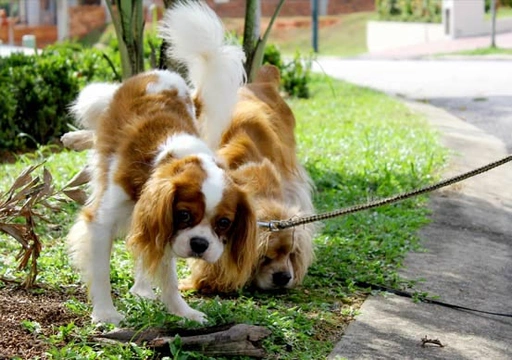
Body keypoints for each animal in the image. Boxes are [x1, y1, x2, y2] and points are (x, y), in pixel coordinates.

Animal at [66, 1, 256, 324]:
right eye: (184, 214)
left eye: (224, 223)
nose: (200, 244)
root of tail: (163, 74)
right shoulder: (104, 221)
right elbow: (101, 271)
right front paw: (105, 314)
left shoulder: (160, 219)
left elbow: (166, 274)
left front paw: (181, 311)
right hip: (103, 106)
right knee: (96, 117)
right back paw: (75, 138)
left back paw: (142, 289)